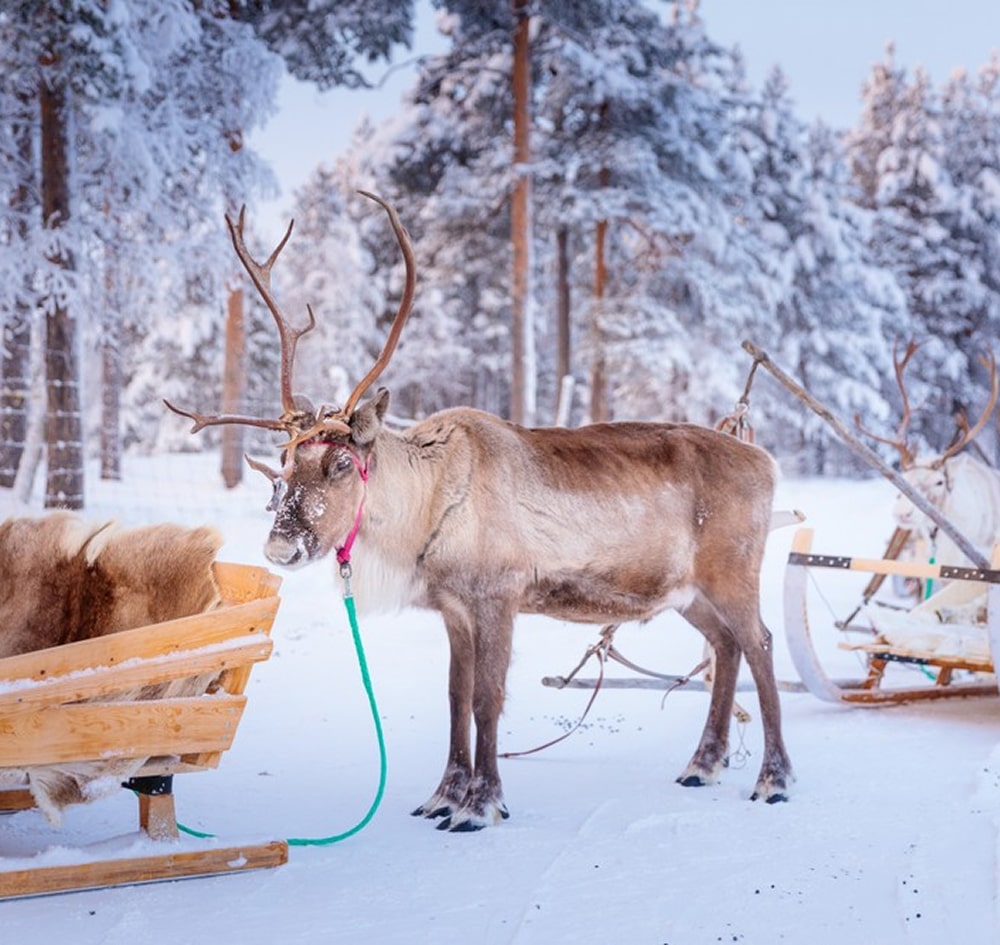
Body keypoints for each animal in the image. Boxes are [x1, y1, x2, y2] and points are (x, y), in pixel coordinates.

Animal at [166, 192, 793, 831]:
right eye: (284, 461)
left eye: (340, 463)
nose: (280, 547)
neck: (425, 507)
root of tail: (768, 463)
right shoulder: (453, 607)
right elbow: (455, 698)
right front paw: (444, 794)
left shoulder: (498, 594)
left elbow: (488, 699)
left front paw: (481, 804)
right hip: (688, 592)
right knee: (726, 646)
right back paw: (703, 763)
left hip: (732, 571)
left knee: (762, 644)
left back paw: (774, 779)